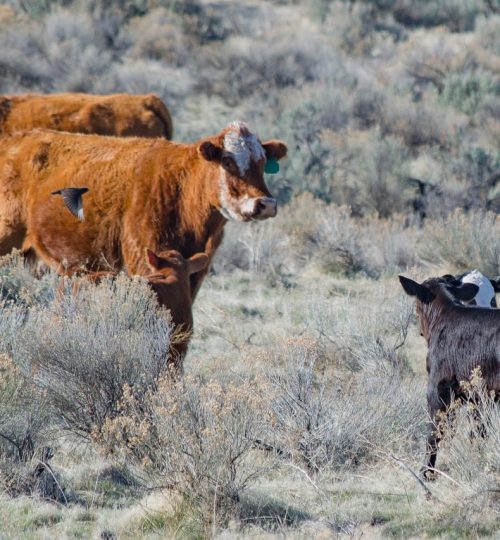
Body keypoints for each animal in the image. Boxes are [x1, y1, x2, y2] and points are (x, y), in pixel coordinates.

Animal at [398, 276, 500, 478]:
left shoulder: (437, 387)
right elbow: (479, 431)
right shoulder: (479, 397)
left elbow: (435, 431)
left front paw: (426, 471)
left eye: (416, 306)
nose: (420, 330)